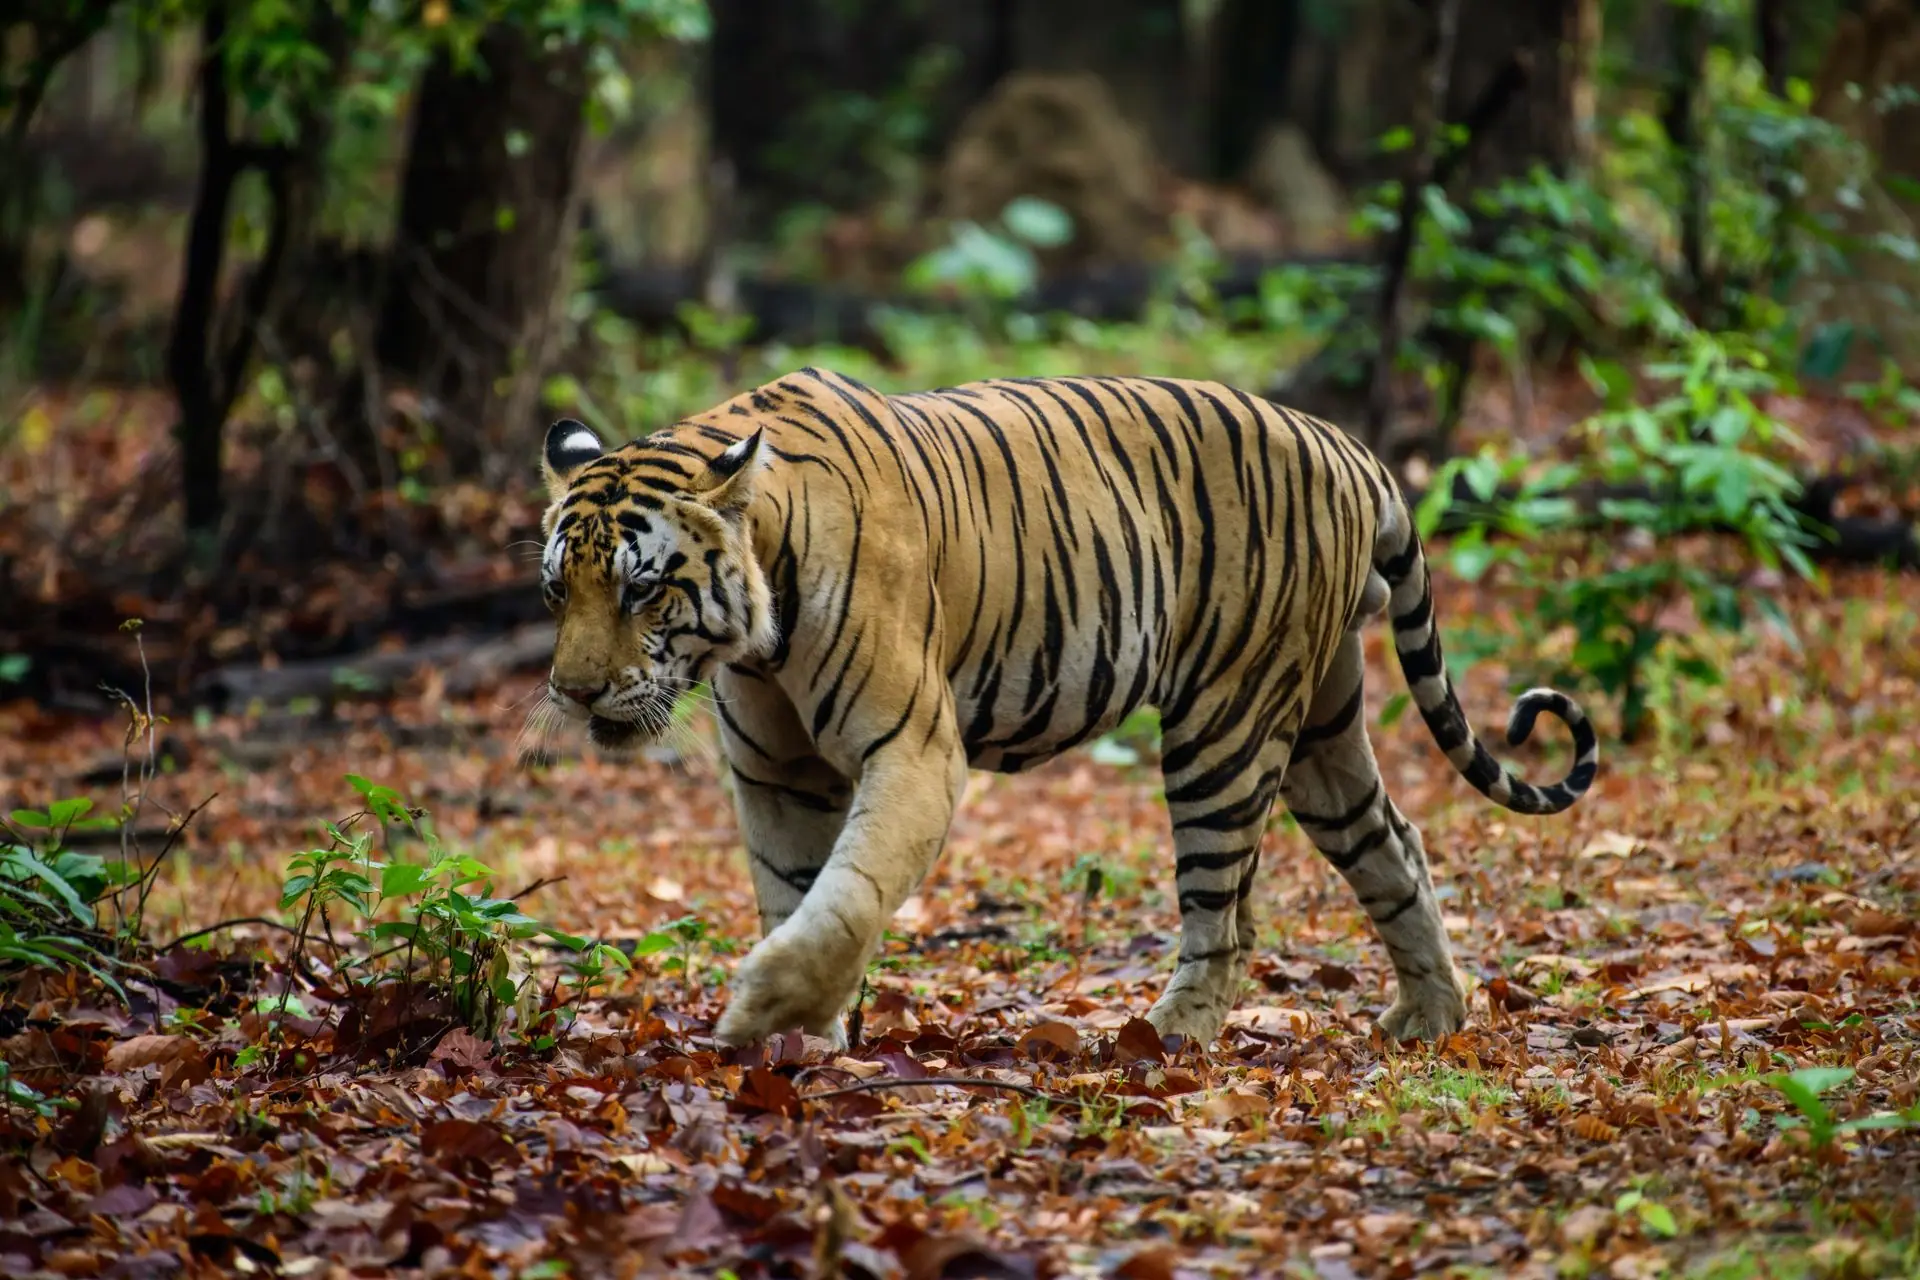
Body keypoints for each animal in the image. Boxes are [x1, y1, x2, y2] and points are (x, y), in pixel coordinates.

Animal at [531, 367, 1598, 1050]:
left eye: (640, 591)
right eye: (556, 591)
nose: (574, 693)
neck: (755, 632)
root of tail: (1343, 444)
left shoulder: (914, 749)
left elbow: (849, 891)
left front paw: (762, 1010)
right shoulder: (777, 771)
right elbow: (794, 889)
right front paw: (799, 1041)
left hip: (1225, 722)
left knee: (1226, 915)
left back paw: (1166, 1038)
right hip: (1320, 728)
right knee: (1395, 843)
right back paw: (1432, 1017)